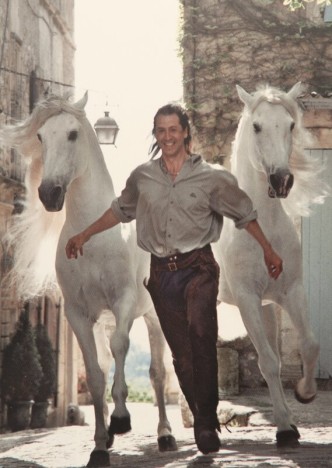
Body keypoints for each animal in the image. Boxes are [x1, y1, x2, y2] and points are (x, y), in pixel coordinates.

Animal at [0, 93, 176, 466]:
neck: (92, 232)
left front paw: (121, 419)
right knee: (110, 363)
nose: (49, 193)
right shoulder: (79, 315)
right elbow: (96, 374)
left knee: (157, 372)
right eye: (41, 137)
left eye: (72, 134)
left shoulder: (123, 303)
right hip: (102, 321)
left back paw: (166, 434)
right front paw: (99, 445)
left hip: (153, 317)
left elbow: (123, 351)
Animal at [215, 82, 330, 448]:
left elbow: (308, 346)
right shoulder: (247, 300)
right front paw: (283, 427)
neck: (259, 226)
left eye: (291, 125)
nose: (282, 180)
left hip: (267, 307)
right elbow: (266, 361)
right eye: (256, 126)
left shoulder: (290, 292)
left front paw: (304, 396)